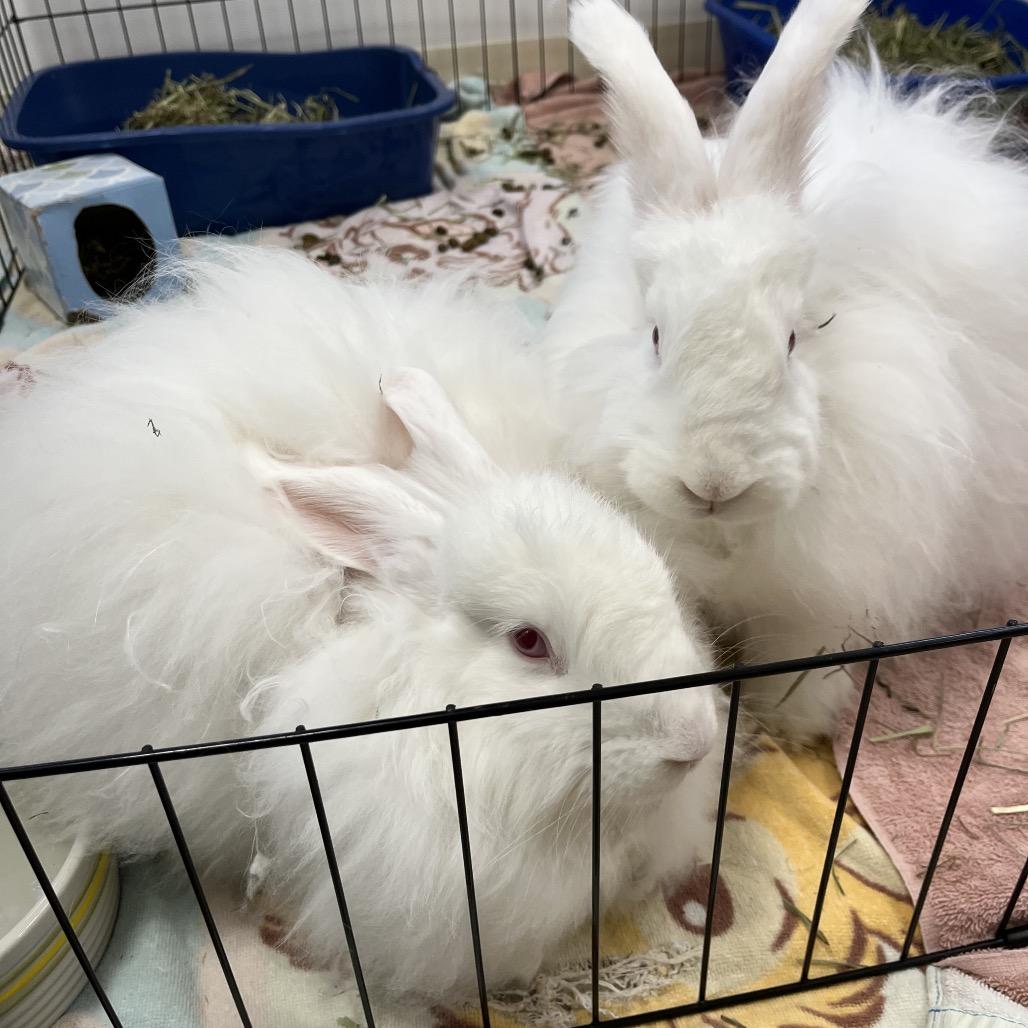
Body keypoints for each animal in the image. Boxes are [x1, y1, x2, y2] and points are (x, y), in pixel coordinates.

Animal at [546, 0, 1028, 741]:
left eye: (798, 338)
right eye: (654, 335)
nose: (714, 483)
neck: (723, 539)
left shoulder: (820, 599)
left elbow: (801, 660)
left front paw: (790, 723)